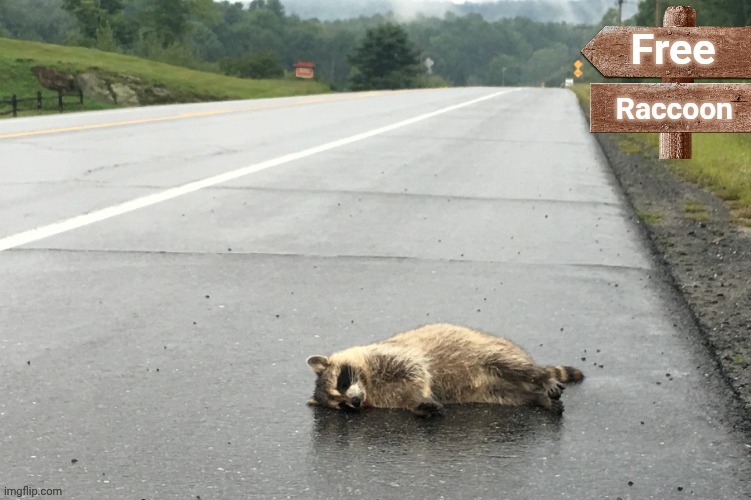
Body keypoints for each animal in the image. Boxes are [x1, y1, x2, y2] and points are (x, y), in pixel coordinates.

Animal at [306, 323, 583, 417]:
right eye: (341, 405)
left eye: (341, 383)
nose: (354, 401)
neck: (369, 384)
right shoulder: (385, 396)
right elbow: (404, 398)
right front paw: (418, 405)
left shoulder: (390, 356)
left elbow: (417, 370)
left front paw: (424, 393)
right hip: (493, 390)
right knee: (513, 396)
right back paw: (537, 399)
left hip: (492, 353)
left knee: (517, 367)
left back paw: (543, 378)